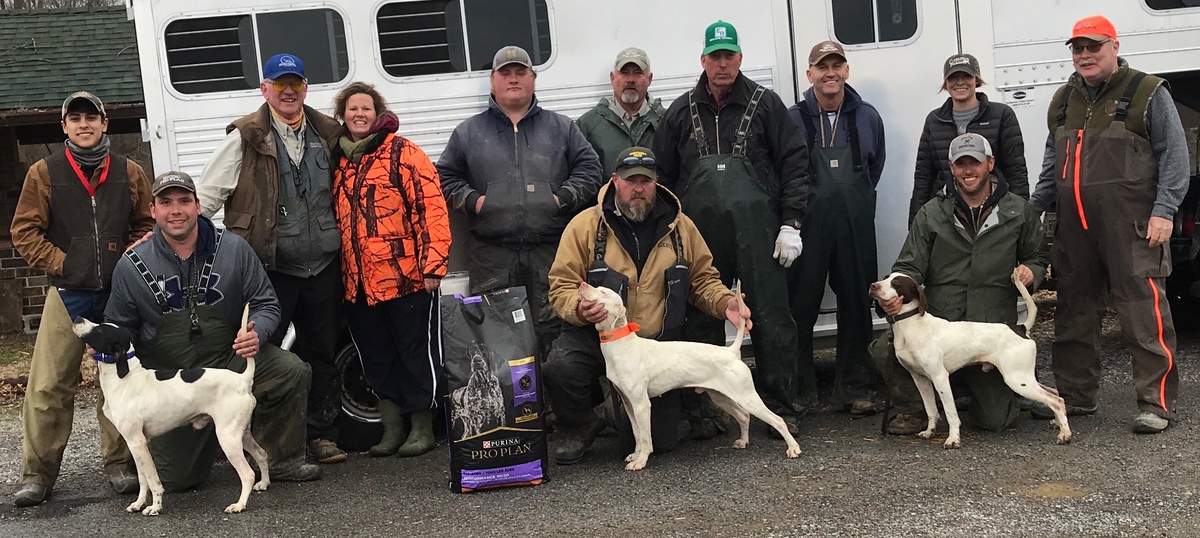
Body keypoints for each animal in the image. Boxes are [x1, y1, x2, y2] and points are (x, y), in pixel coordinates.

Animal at [71, 305, 268, 513]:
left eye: (100, 331)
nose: (77, 317)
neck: (124, 378)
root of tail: (243, 379)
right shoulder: (135, 444)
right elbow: (142, 480)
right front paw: (138, 503)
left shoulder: (138, 442)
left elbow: (153, 481)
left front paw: (155, 507)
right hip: (241, 434)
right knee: (262, 454)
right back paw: (264, 483)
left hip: (228, 438)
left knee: (247, 474)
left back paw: (239, 505)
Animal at [578, 281, 801, 470]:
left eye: (603, 292)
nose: (581, 284)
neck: (622, 344)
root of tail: (730, 351)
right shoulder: (628, 403)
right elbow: (637, 433)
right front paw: (635, 454)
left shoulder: (641, 404)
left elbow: (646, 438)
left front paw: (641, 461)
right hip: (721, 396)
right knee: (744, 416)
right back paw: (743, 441)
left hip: (747, 396)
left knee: (777, 420)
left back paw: (793, 448)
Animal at [868, 269, 1075, 449]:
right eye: (885, 278)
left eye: (896, 283)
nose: (873, 286)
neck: (911, 325)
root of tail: (1021, 328)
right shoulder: (920, 379)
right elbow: (931, 410)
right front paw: (929, 431)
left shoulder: (940, 378)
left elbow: (951, 413)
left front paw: (953, 439)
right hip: (1024, 378)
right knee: (1056, 394)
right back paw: (1057, 423)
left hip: (1017, 380)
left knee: (1056, 400)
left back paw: (1065, 434)